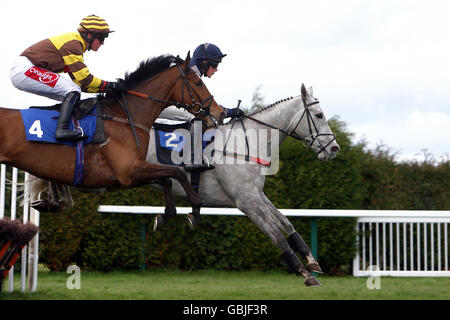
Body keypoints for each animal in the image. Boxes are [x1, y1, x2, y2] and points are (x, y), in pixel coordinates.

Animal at [0, 53, 225, 216]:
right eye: (198, 83)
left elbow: (166, 179)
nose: (219, 112)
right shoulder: (128, 172)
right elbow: (176, 172)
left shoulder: (127, 175)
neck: (124, 116)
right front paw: (195, 205)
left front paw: (168, 213)